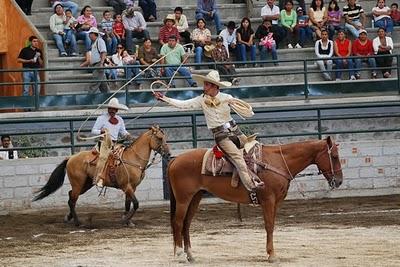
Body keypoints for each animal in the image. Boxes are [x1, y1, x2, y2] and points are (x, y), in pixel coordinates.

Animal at [33, 126, 170, 227]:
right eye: (159, 138)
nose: (168, 154)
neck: (133, 159)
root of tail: (70, 158)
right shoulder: (127, 186)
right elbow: (136, 204)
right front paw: (125, 220)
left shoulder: (132, 187)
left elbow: (128, 203)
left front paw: (127, 220)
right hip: (78, 183)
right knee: (72, 200)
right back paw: (77, 222)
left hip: (86, 184)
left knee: (70, 196)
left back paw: (68, 217)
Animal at [167, 137, 342, 262]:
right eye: (334, 156)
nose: (339, 181)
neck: (277, 162)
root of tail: (175, 159)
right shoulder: (268, 201)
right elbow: (269, 226)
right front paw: (272, 255)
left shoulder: (276, 203)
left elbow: (272, 225)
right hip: (183, 199)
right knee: (178, 222)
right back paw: (180, 255)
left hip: (195, 198)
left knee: (186, 224)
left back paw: (190, 255)